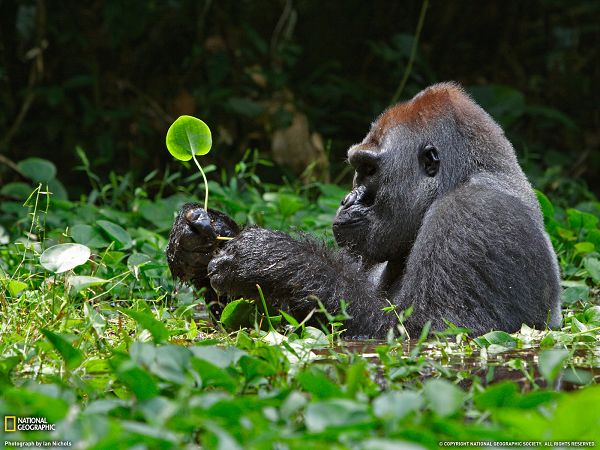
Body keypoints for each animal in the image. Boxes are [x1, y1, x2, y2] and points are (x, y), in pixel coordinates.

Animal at [165, 83, 564, 338]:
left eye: (369, 170)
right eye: (358, 168)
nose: (347, 199)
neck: (461, 177)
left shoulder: (474, 215)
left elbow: (425, 331)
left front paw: (272, 260)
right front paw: (199, 240)